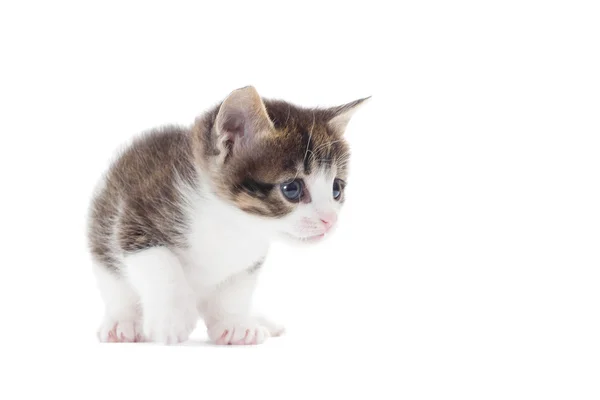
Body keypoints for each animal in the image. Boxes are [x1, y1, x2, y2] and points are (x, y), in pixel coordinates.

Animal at [86, 85, 368, 344]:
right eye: (292, 189)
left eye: (336, 189)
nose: (330, 220)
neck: (231, 223)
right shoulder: (136, 216)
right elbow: (161, 264)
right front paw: (172, 318)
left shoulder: (248, 261)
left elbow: (236, 290)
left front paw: (235, 324)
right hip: (103, 229)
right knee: (117, 287)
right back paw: (122, 322)